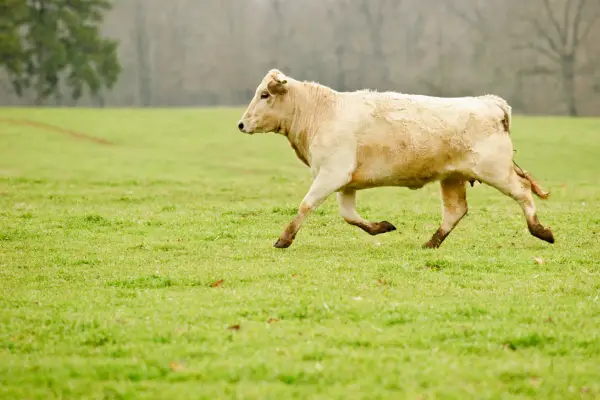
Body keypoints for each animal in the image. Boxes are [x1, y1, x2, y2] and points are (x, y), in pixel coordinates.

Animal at [237, 69, 556, 250]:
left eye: (264, 95)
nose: (241, 124)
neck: (321, 112)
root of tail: (490, 101)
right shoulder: (345, 182)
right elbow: (349, 215)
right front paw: (381, 227)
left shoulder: (331, 173)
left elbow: (306, 205)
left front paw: (284, 238)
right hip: (453, 177)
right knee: (455, 211)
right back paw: (431, 242)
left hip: (496, 170)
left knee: (522, 191)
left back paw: (540, 231)